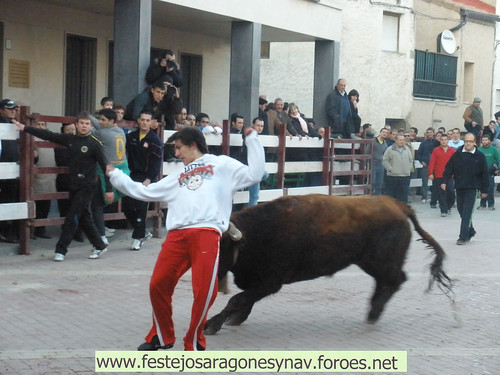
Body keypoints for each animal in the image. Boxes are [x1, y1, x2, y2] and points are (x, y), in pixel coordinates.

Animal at [203, 194, 454, 334]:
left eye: (218, 247)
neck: (254, 234)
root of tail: (398, 205)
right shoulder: (259, 282)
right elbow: (246, 300)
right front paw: (234, 319)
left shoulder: (271, 282)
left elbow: (238, 299)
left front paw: (212, 324)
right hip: (369, 262)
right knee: (386, 282)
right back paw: (373, 309)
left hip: (382, 262)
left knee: (396, 280)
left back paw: (374, 312)